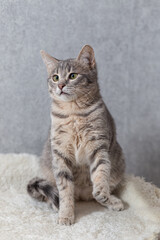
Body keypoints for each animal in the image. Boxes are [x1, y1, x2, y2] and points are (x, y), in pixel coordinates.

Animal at [27, 44, 125, 225]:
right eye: (55, 78)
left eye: (72, 76)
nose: (60, 86)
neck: (73, 113)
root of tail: (81, 194)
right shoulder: (60, 152)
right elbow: (65, 189)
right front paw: (66, 214)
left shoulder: (98, 144)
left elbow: (101, 172)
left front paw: (102, 192)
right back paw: (55, 204)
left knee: (98, 193)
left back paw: (112, 200)